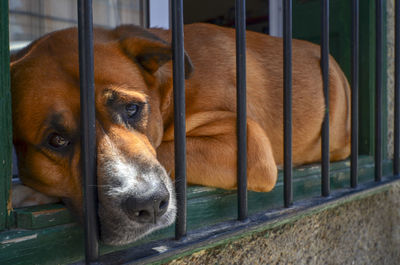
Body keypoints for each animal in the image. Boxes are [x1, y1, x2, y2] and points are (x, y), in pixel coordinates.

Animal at [10, 23, 350, 244]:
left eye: (132, 109)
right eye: (57, 140)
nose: (149, 205)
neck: (168, 91)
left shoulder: (248, 142)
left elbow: (168, 149)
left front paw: (27, 190)